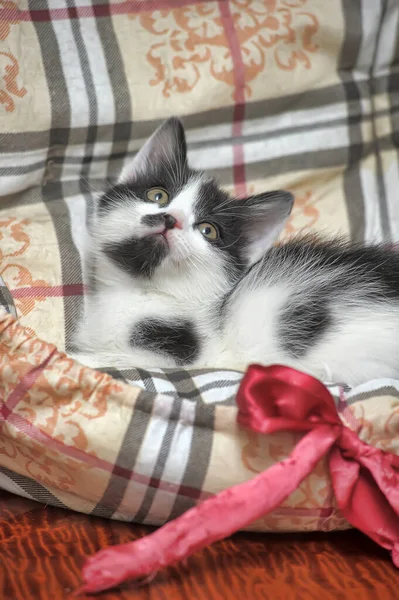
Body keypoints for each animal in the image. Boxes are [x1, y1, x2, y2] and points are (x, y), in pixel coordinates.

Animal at [75, 117, 399, 384]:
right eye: (158, 196)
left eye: (208, 230)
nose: (171, 219)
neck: (139, 290)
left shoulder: (188, 359)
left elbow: (120, 359)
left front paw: (80, 358)